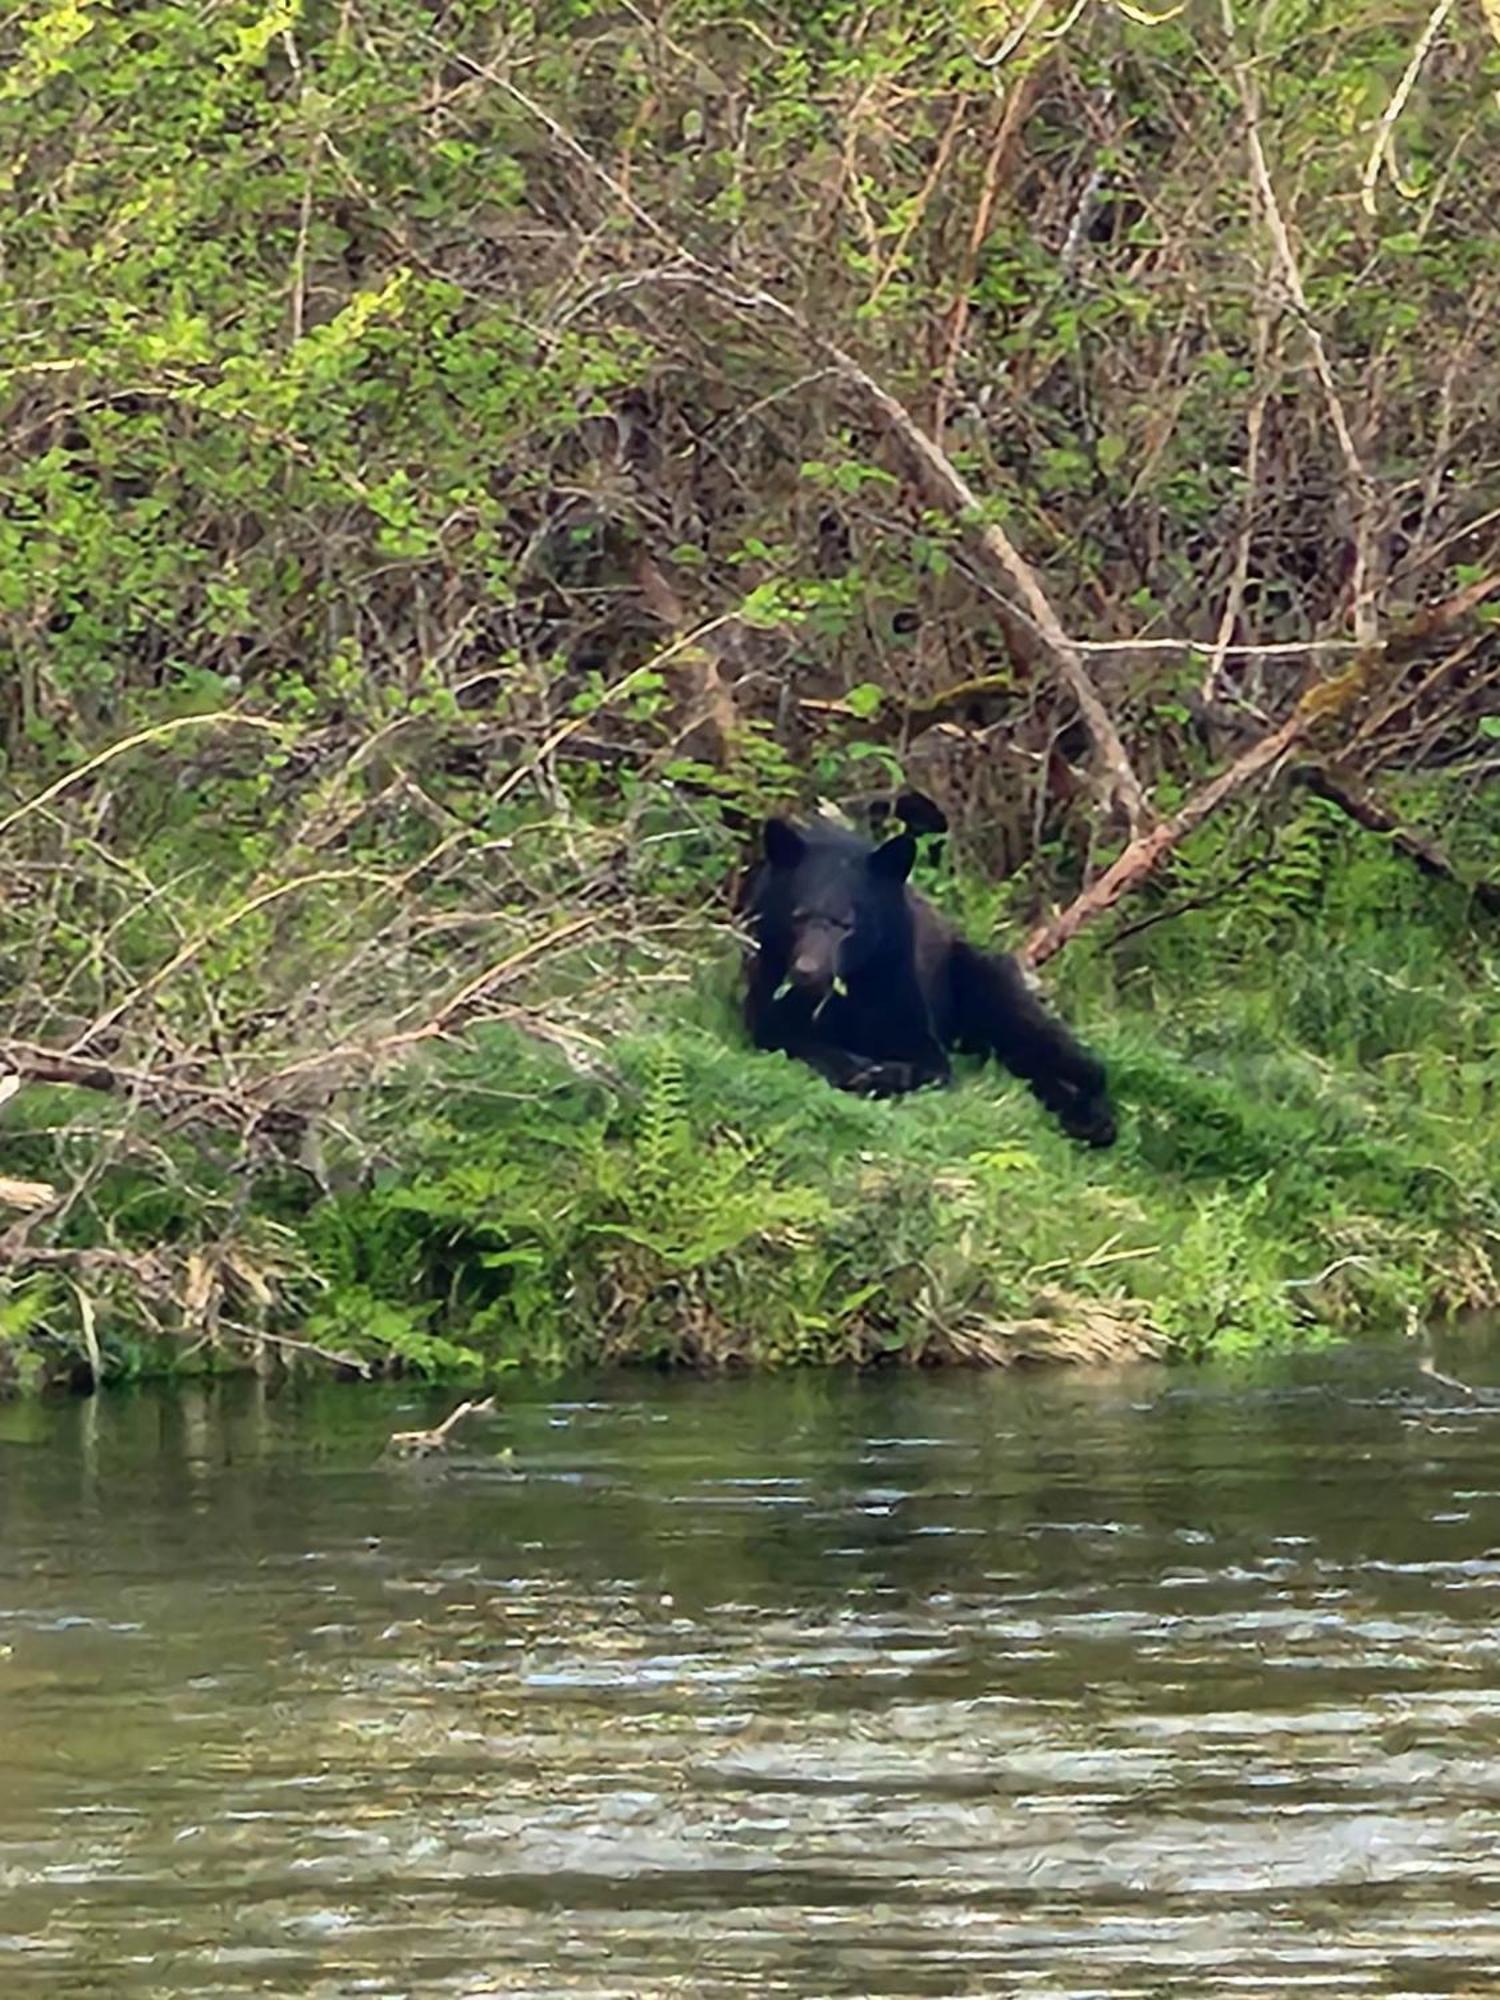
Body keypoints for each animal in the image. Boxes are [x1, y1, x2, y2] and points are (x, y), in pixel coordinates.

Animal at [740, 812, 1120, 1152]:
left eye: (847, 924)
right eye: (798, 916)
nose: (807, 970)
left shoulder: (896, 989)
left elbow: (929, 1064)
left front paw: (885, 1070)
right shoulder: (770, 983)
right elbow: (786, 1035)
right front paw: (857, 1066)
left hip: (978, 979)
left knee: (1056, 1048)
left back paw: (1093, 1117)